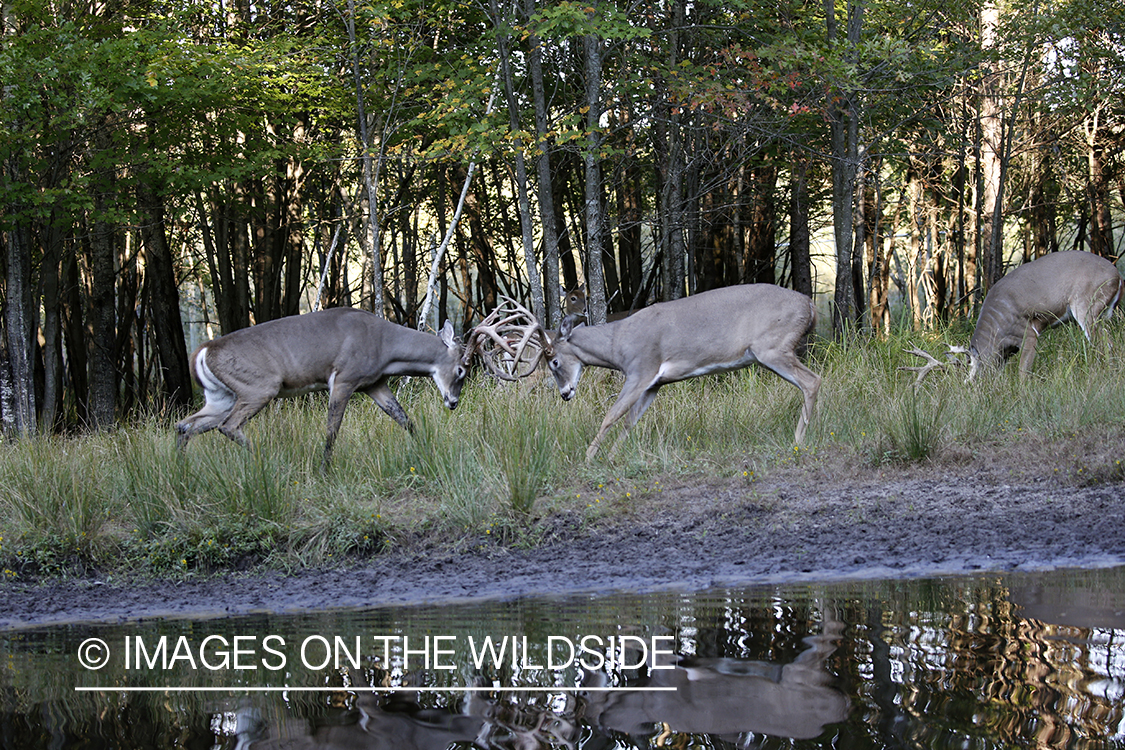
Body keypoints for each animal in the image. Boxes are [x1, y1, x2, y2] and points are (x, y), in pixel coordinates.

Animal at [175, 305, 479, 470]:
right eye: (461, 370)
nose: (453, 402)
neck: (385, 348)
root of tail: (202, 350)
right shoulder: (344, 379)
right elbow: (332, 431)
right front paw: (325, 469)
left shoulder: (374, 384)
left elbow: (405, 420)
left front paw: (428, 450)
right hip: (259, 387)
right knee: (227, 425)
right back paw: (273, 460)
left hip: (220, 396)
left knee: (185, 425)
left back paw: (182, 472)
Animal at [508, 284, 819, 461]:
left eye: (553, 361)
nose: (565, 394)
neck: (617, 345)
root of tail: (811, 305)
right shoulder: (654, 384)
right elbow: (629, 421)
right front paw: (611, 456)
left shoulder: (641, 370)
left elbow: (611, 416)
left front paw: (588, 457)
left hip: (773, 347)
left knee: (812, 381)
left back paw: (798, 441)